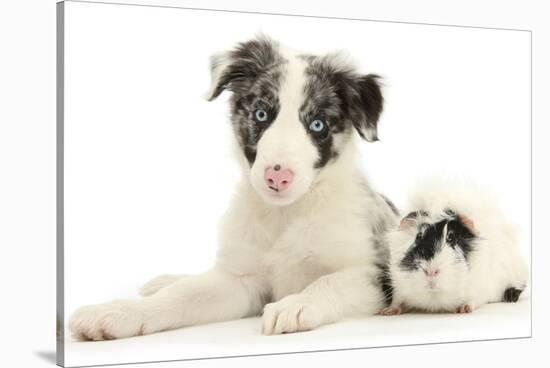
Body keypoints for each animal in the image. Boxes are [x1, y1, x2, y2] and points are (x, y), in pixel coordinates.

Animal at [69, 34, 398, 340]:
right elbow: (183, 295)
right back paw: (164, 281)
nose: (277, 177)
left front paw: (295, 305)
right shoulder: (241, 280)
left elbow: (328, 282)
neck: (285, 215)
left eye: (318, 125)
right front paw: (120, 312)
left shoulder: (372, 275)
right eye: (261, 114)